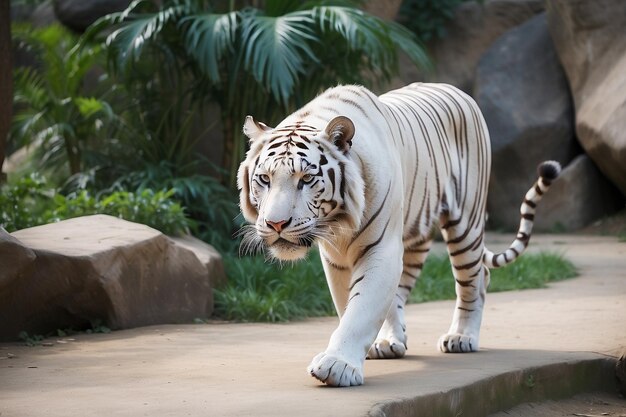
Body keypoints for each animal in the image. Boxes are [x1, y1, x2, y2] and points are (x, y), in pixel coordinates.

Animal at [236, 82, 560, 386]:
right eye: (264, 179)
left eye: (306, 179)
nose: (276, 224)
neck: (339, 222)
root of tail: (457, 91)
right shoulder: (338, 258)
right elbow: (353, 303)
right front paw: (364, 349)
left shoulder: (381, 248)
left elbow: (362, 308)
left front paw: (338, 366)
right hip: (415, 232)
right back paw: (391, 340)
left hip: (465, 222)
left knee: (475, 279)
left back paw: (462, 337)